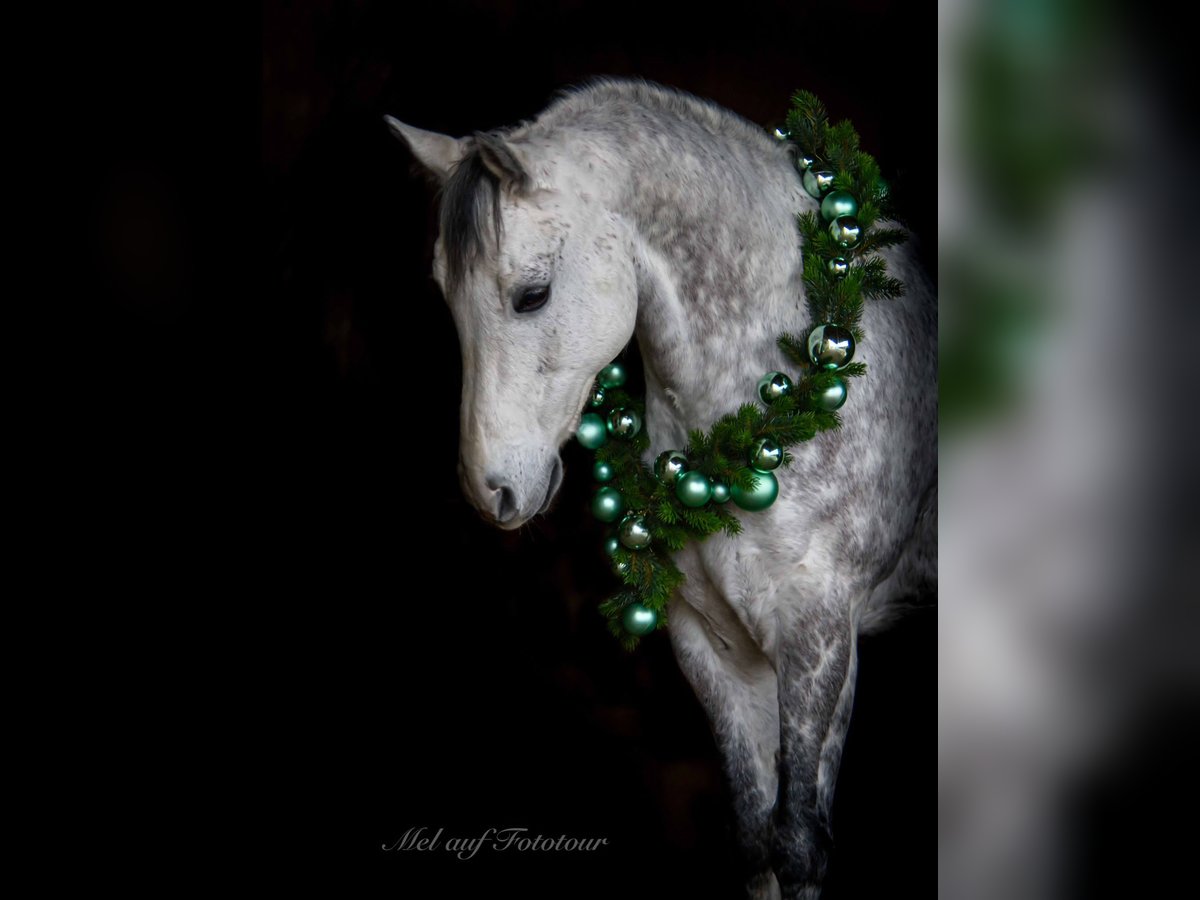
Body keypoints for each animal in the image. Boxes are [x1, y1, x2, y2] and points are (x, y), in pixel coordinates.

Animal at [384, 79, 936, 900]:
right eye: (445, 296)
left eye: (532, 296)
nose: (492, 490)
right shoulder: (713, 646)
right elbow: (758, 840)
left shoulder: (820, 644)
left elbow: (799, 843)